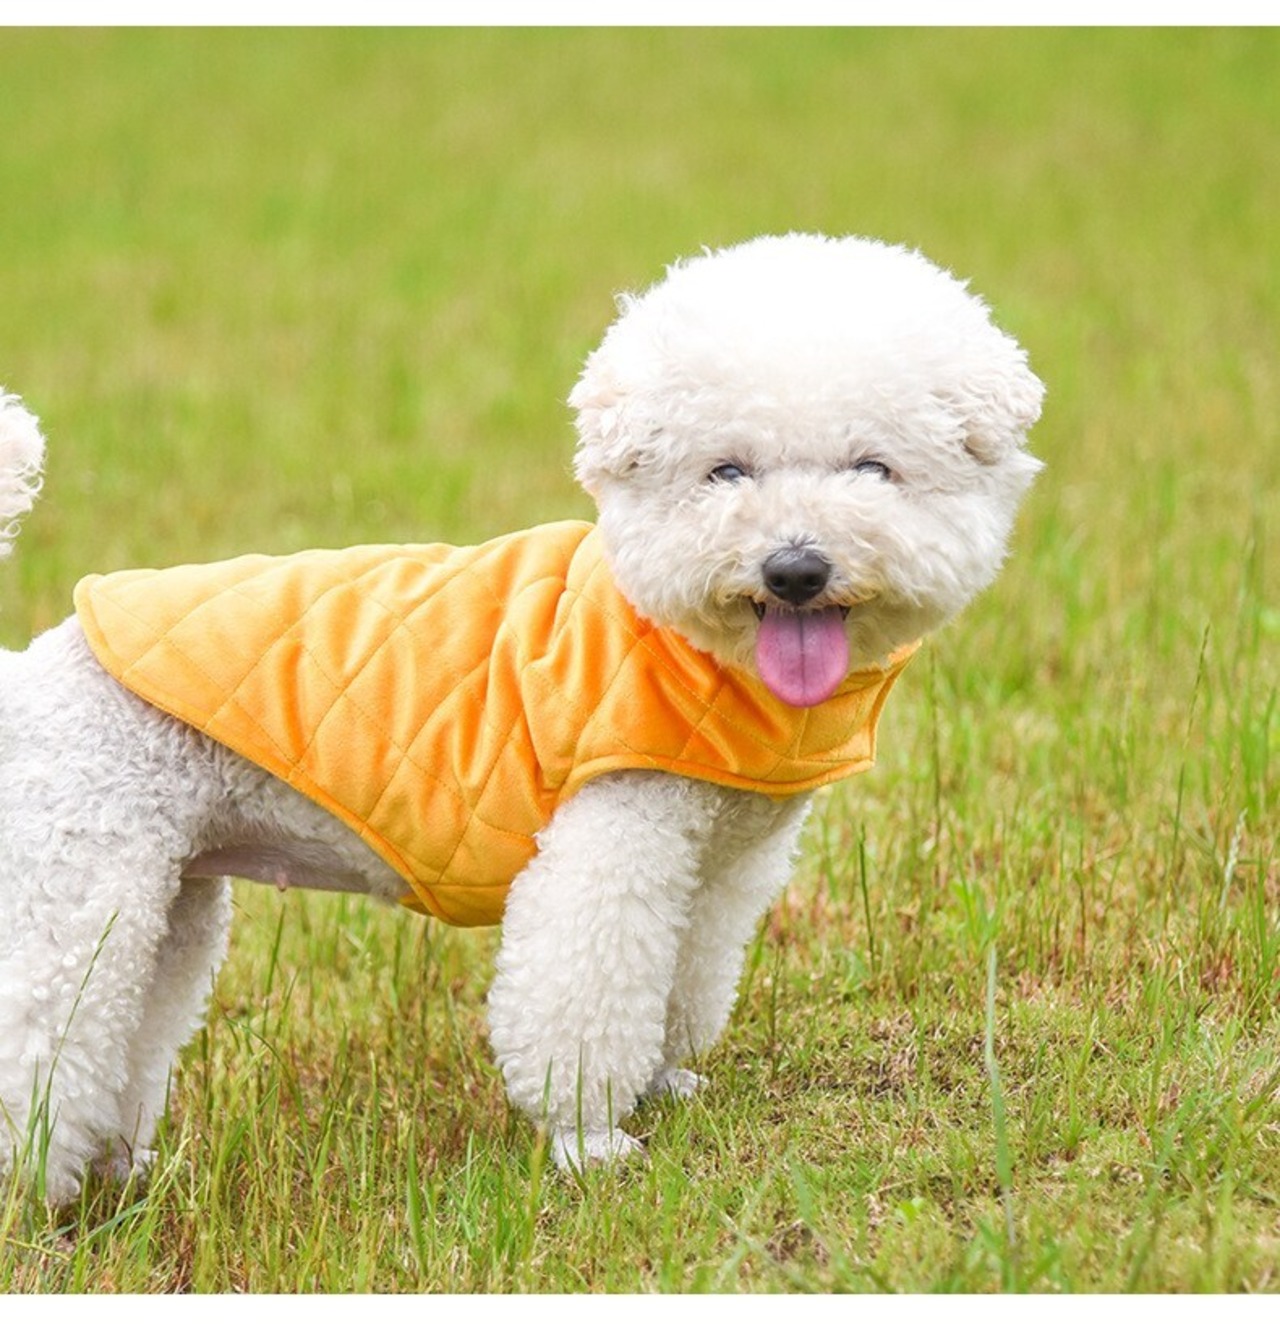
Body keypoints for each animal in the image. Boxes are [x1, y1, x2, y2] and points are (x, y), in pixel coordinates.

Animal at [0, 234, 1042, 1203]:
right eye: (725, 471)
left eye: (874, 467)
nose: (795, 569)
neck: (681, 639)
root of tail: (25, 675)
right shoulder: (612, 842)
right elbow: (586, 1002)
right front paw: (592, 1143)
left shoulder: (721, 867)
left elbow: (683, 978)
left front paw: (663, 1082)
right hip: (75, 891)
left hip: (168, 904)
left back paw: (120, 1172)